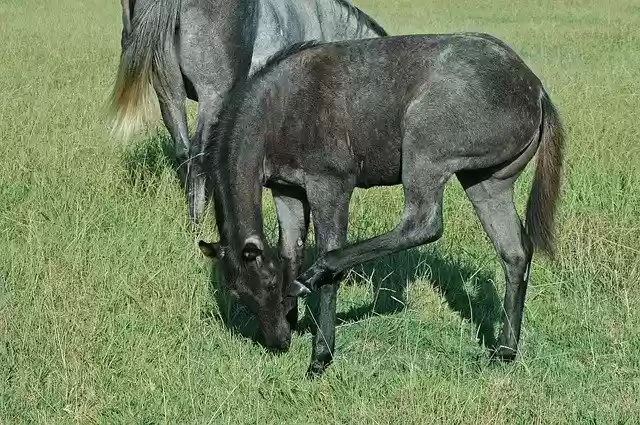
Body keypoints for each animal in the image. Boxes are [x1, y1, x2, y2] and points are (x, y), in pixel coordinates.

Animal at [197, 34, 565, 376]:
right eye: (237, 293)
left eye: (270, 284)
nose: (279, 342)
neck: (279, 108)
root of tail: (535, 90)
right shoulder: (286, 190)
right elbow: (290, 251)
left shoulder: (329, 185)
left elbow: (329, 254)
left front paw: (320, 356)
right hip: (486, 182)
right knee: (514, 253)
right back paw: (504, 350)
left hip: (424, 148)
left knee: (423, 224)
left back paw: (314, 278)